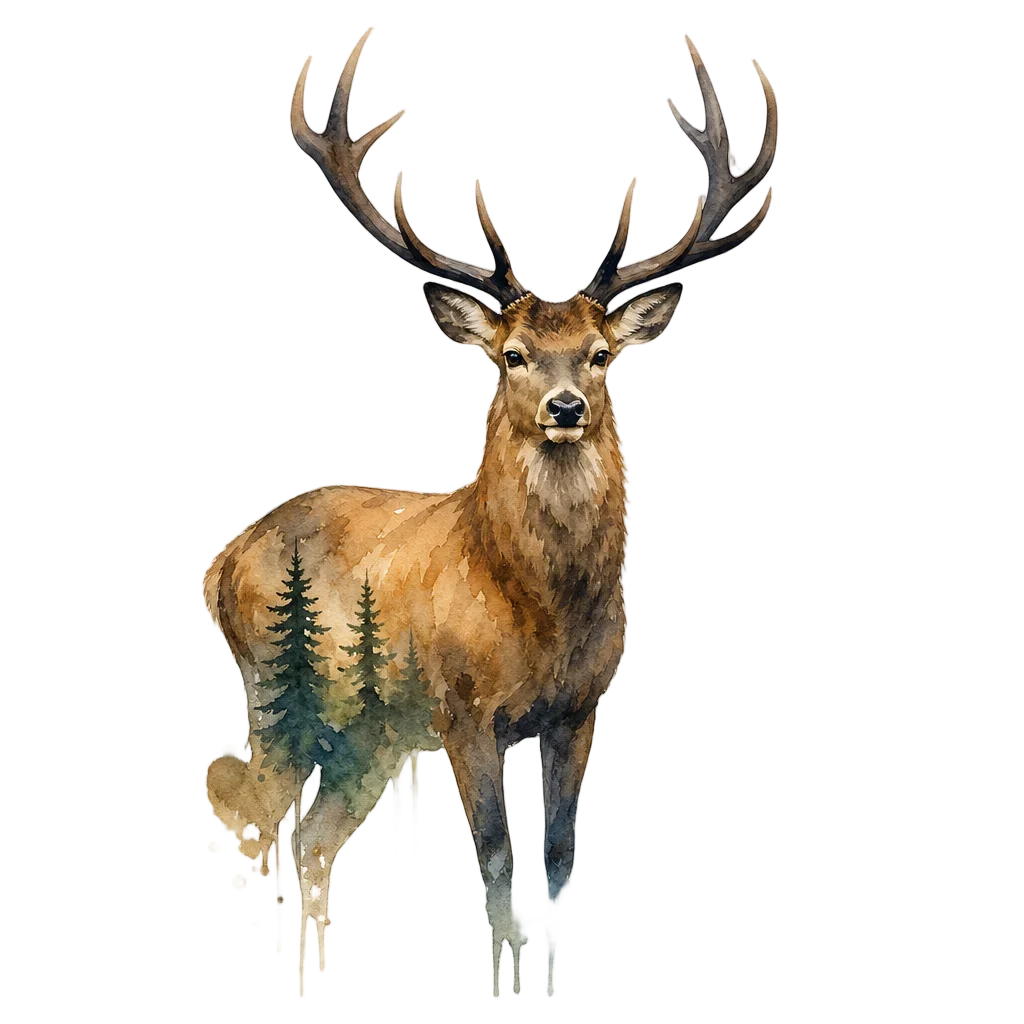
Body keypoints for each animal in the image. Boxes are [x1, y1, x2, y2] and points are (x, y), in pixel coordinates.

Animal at [200, 26, 778, 998]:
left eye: (599, 353)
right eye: (511, 355)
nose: (564, 407)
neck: (540, 614)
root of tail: (224, 559)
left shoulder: (581, 709)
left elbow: (562, 859)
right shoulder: (462, 705)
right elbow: (499, 867)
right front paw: (508, 973)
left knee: (308, 842)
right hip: (283, 687)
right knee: (272, 820)